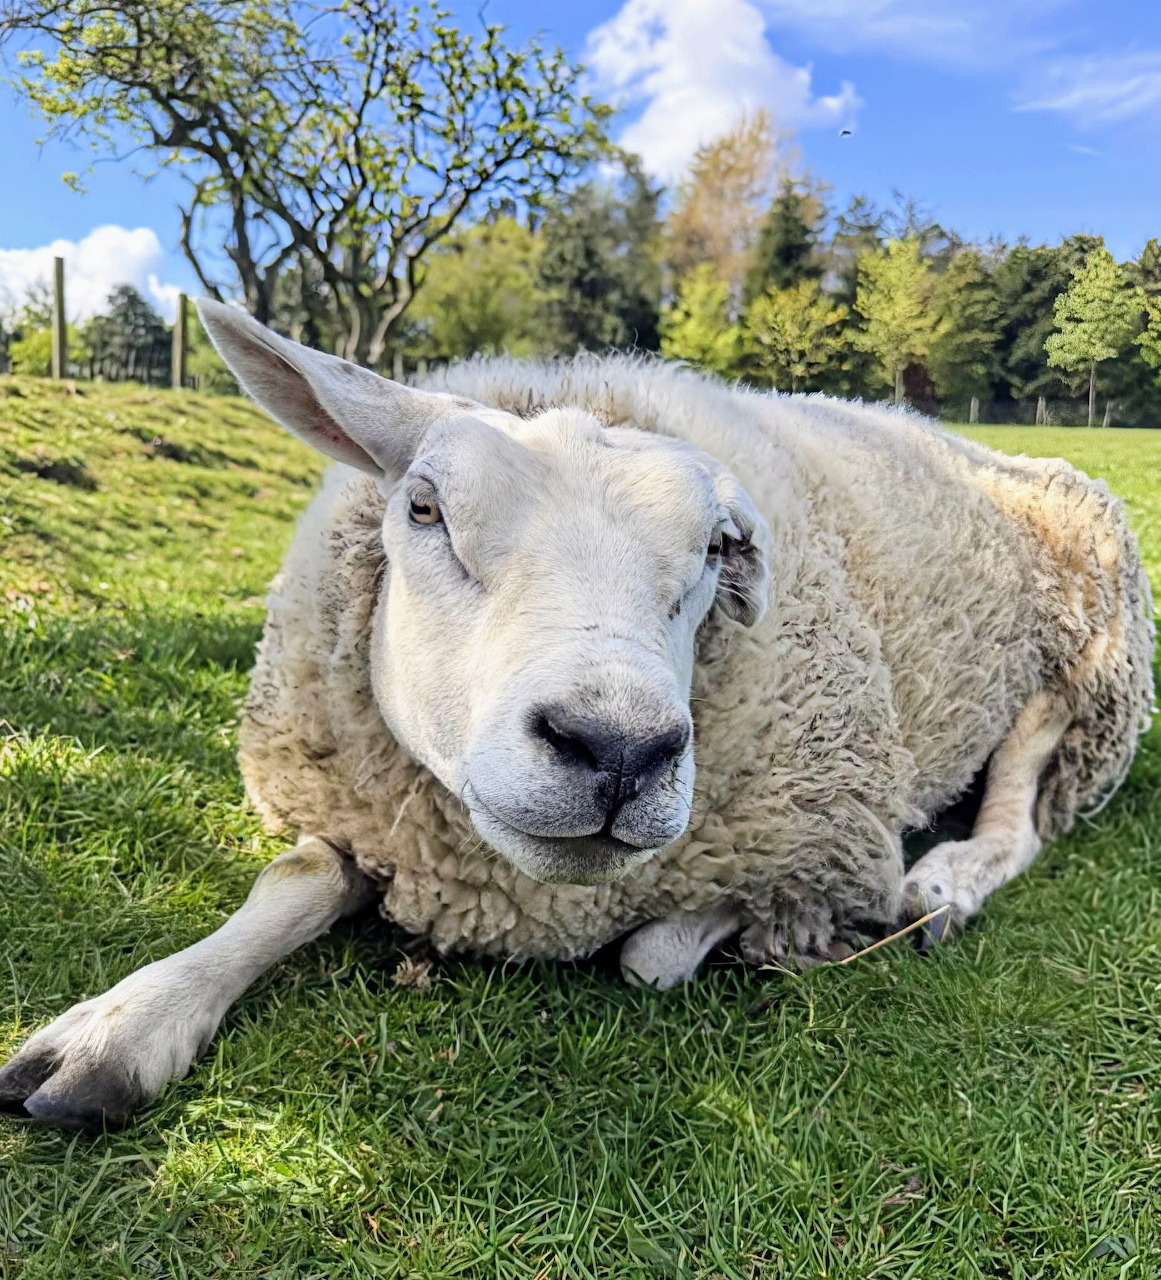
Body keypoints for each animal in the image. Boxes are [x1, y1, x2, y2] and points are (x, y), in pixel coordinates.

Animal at [0, 300, 1152, 1131]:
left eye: (717, 548)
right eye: (424, 508)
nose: (618, 749)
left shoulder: (819, 833)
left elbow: (658, 955)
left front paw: (732, 932)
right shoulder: (357, 801)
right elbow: (294, 880)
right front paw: (121, 1025)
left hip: (1082, 655)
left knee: (1021, 807)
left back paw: (944, 881)